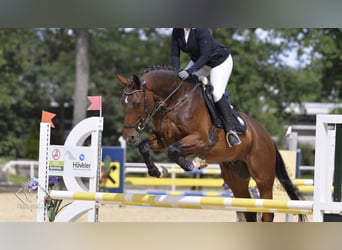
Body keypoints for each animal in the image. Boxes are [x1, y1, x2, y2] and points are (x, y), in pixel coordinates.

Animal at [116, 65, 306, 222]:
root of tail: (267, 137)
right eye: (122, 103)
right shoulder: (162, 139)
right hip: (236, 178)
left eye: (137, 103)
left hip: (263, 177)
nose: (129, 137)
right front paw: (157, 171)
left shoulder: (200, 140)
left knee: (267, 212)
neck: (175, 100)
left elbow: (173, 151)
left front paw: (192, 163)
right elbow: (145, 146)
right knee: (249, 210)